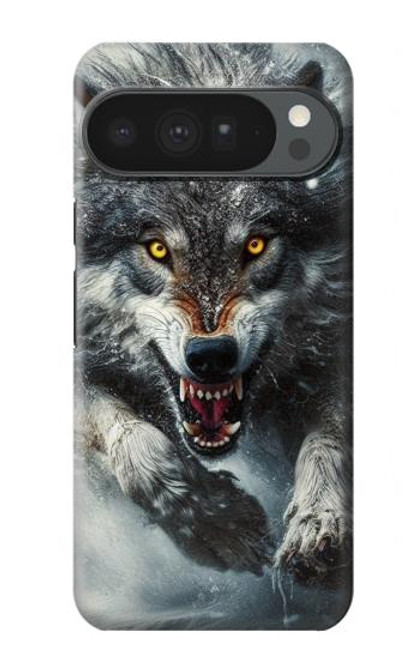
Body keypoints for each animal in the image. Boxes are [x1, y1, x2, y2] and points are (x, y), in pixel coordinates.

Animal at [75, 43, 352, 585]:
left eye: (256, 244)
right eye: (157, 249)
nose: (210, 355)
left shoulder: (333, 348)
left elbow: (331, 437)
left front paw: (320, 519)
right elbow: (136, 440)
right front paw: (216, 520)